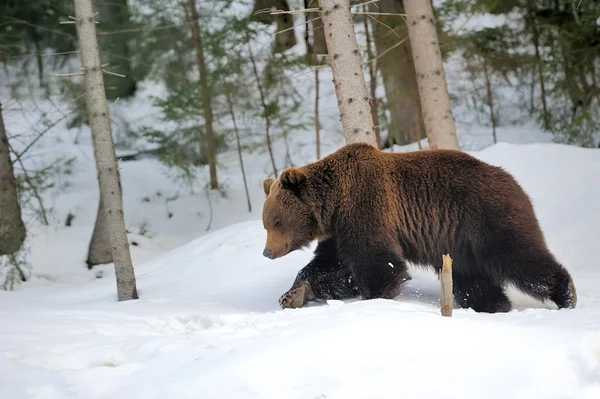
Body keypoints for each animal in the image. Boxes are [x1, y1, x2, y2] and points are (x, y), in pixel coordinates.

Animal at [262, 142, 576, 314]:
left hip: (489, 220)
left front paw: (376, 296)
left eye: (276, 221)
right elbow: (330, 267)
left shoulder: (367, 208)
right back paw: (493, 305)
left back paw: (566, 294)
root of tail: (515, 183)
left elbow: (379, 263)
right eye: (266, 222)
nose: (267, 252)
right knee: (472, 280)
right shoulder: (339, 232)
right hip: (459, 242)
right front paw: (293, 294)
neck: (334, 202)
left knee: (522, 259)